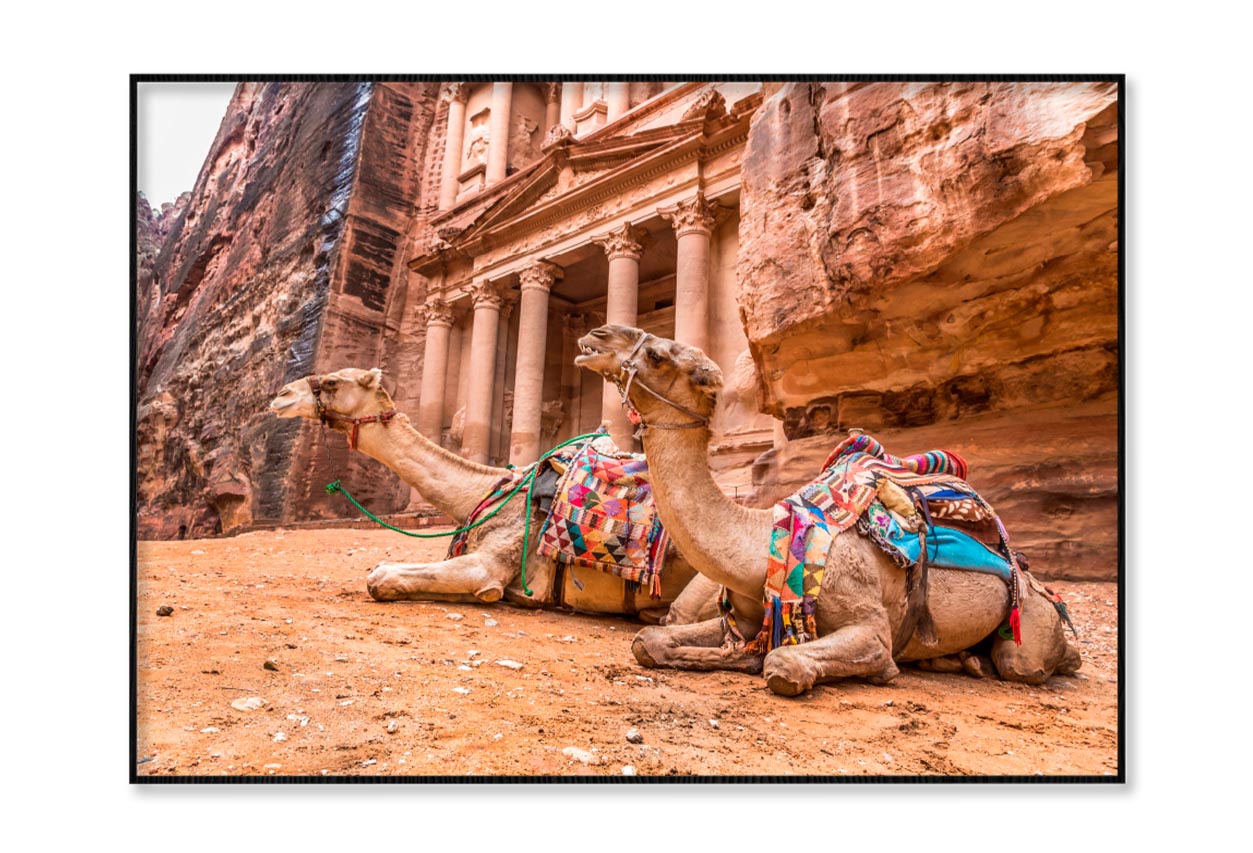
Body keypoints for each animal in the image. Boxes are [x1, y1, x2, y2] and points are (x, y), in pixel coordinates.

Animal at [573, 323, 1082, 696]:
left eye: (659, 355)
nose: (597, 333)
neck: (761, 543)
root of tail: (1025, 569)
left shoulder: (869, 625)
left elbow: (784, 662)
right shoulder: (743, 616)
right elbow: (648, 641)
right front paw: (734, 656)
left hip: (1028, 619)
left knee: (1024, 662)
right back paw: (959, 658)